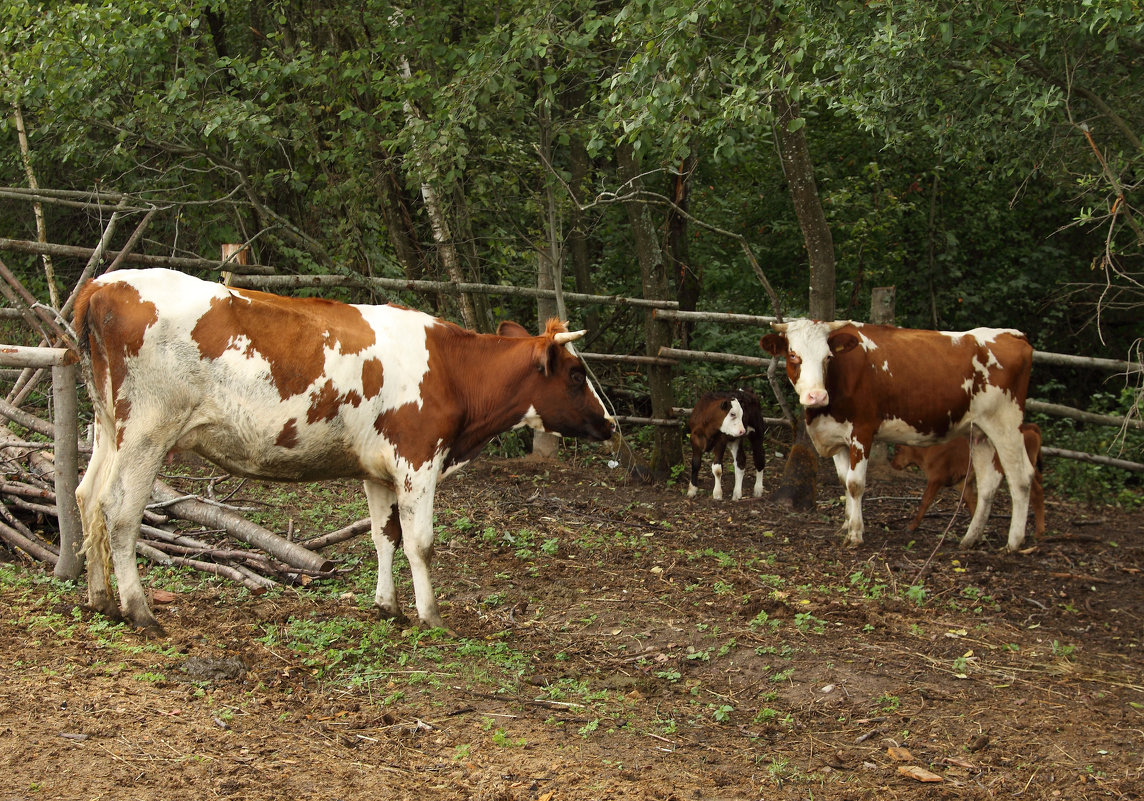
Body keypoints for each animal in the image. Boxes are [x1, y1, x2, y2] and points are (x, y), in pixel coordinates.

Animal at [74, 268, 617, 631]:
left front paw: (387, 607)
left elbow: (384, 538)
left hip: (108, 425)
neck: (450, 367)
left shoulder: (378, 470)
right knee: (120, 512)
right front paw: (431, 616)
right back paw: (140, 611)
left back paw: (101, 600)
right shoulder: (418, 461)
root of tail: (104, 284)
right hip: (147, 430)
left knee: (86, 496)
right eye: (576, 374)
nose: (611, 423)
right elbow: (421, 542)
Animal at [759, 318, 1038, 551]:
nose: (817, 396)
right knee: (988, 482)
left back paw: (1014, 542)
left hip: (1006, 423)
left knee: (1021, 478)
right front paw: (847, 523)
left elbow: (855, 483)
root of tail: (1013, 334)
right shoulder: (837, 436)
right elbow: (843, 480)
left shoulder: (862, 431)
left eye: (828, 357)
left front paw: (855, 534)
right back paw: (970, 538)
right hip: (979, 432)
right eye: (793, 356)